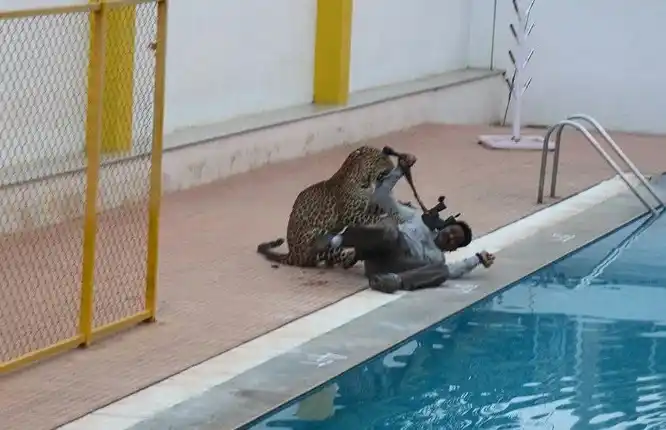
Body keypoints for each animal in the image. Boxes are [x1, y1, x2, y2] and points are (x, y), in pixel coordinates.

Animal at [256, 145, 409, 269]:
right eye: (381, 159)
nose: (393, 166)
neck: (364, 181)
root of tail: (292, 254)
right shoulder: (351, 213)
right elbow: (371, 218)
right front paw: (395, 219)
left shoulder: (367, 205)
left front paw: (402, 208)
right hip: (316, 238)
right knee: (330, 255)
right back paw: (350, 258)